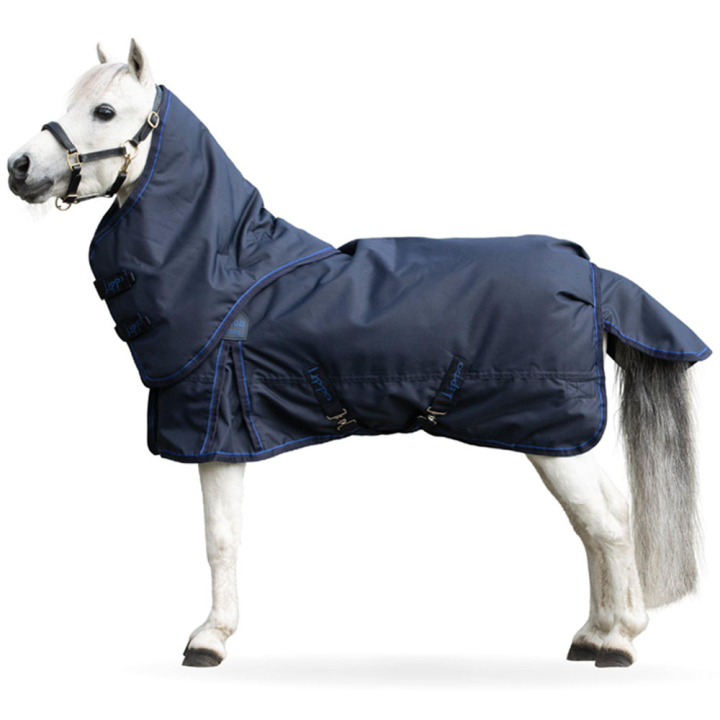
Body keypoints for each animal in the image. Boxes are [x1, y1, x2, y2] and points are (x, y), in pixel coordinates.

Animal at [7, 40, 710, 669]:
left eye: (104, 111)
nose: (19, 167)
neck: (226, 272)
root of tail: (588, 272)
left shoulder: (218, 434)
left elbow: (220, 539)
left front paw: (210, 638)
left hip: (554, 434)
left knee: (608, 522)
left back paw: (619, 642)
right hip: (555, 437)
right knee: (596, 523)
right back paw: (593, 634)